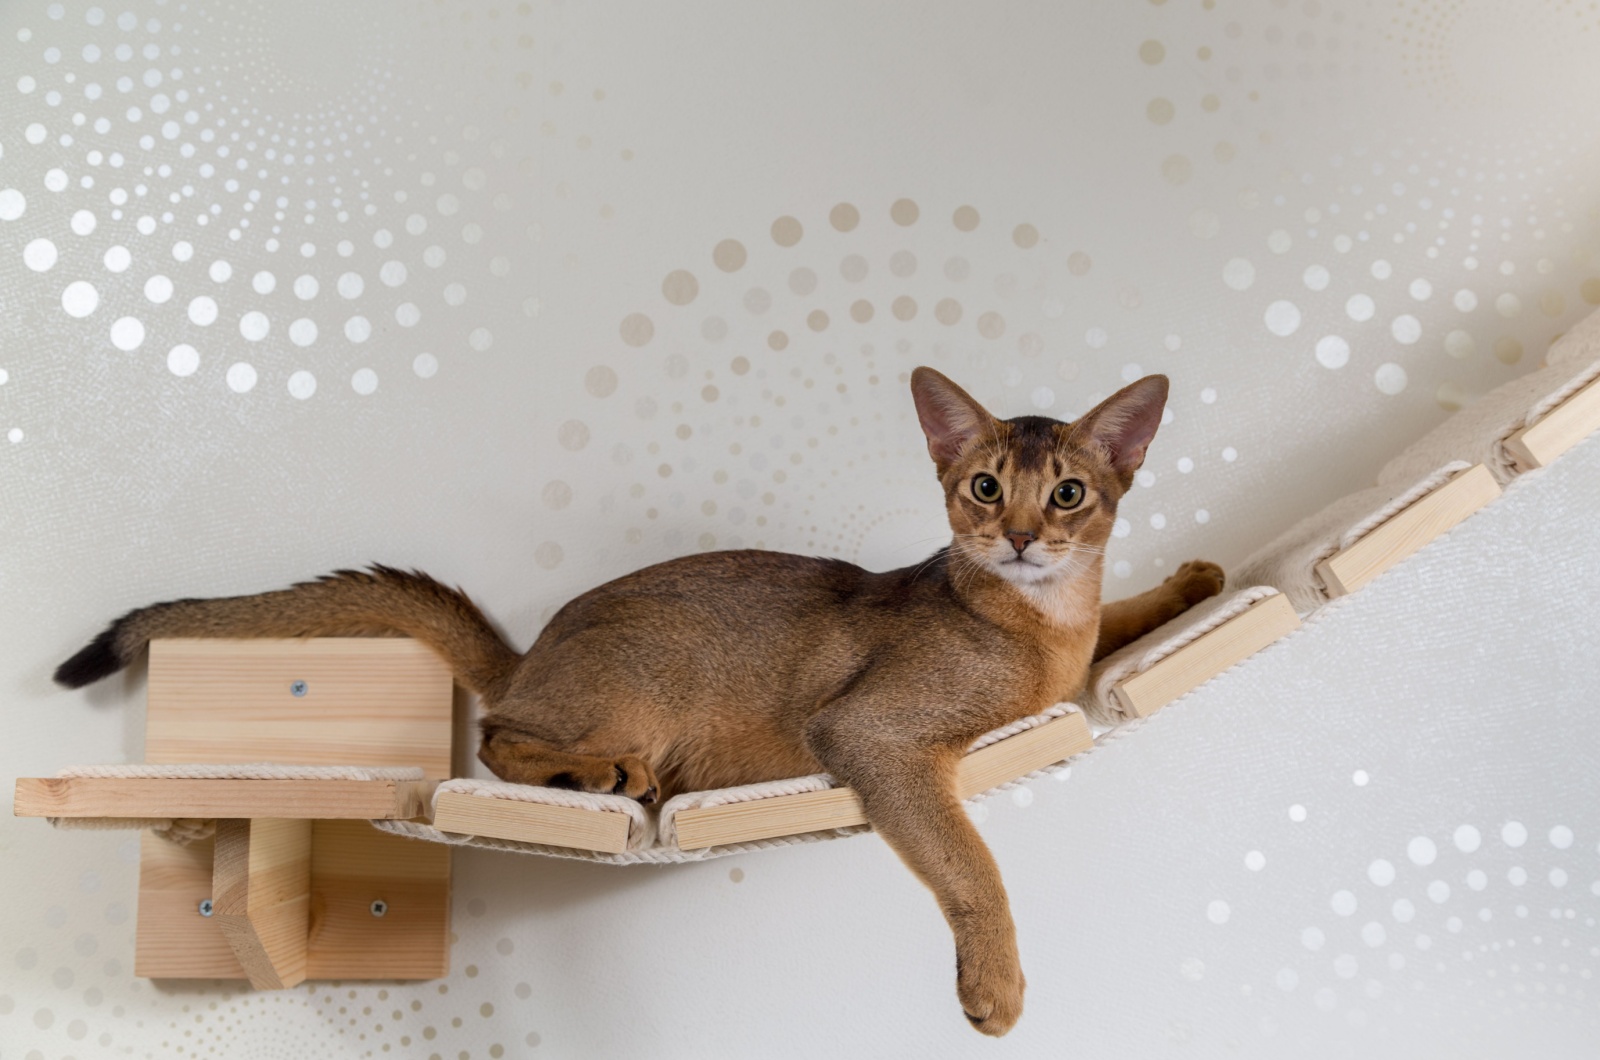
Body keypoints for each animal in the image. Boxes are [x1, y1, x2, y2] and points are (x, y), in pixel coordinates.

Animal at [53, 368, 1222, 1037]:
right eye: (984, 486)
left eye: (1068, 493)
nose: (1020, 536)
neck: (1034, 626)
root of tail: (532, 650)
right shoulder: (874, 734)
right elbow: (973, 865)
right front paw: (996, 986)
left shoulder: (1071, 653)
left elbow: (1115, 620)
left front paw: (1191, 581)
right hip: (649, 683)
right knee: (498, 735)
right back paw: (599, 773)